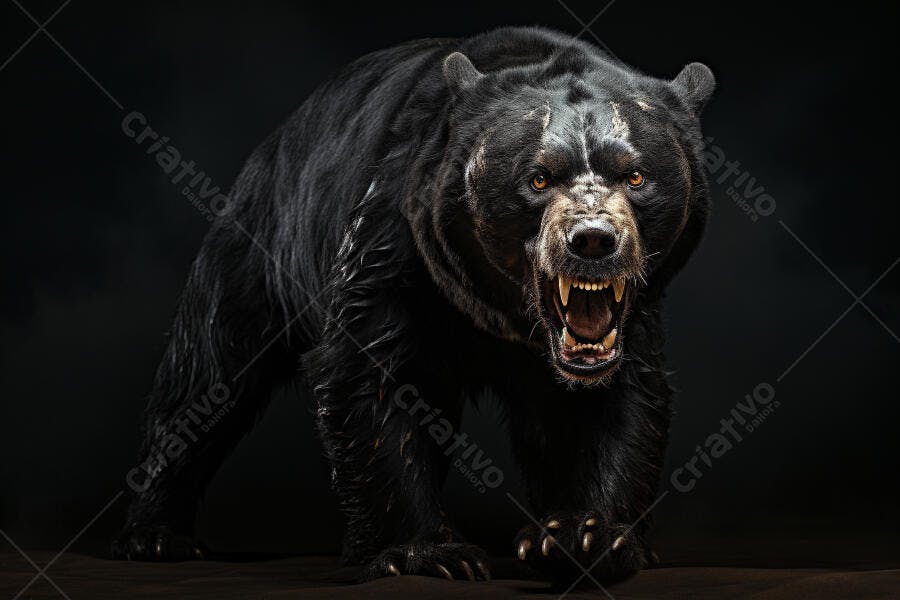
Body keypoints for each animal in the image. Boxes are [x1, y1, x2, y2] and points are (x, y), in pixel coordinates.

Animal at [111, 26, 714, 586]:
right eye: (539, 178)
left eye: (635, 175)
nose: (592, 239)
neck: (500, 310)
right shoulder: (393, 245)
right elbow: (370, 377)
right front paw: (429, 553)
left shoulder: (631, 317)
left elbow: (618, 401)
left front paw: (583, 536)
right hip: (259, 243)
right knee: (209, 370)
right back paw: (155, 535)